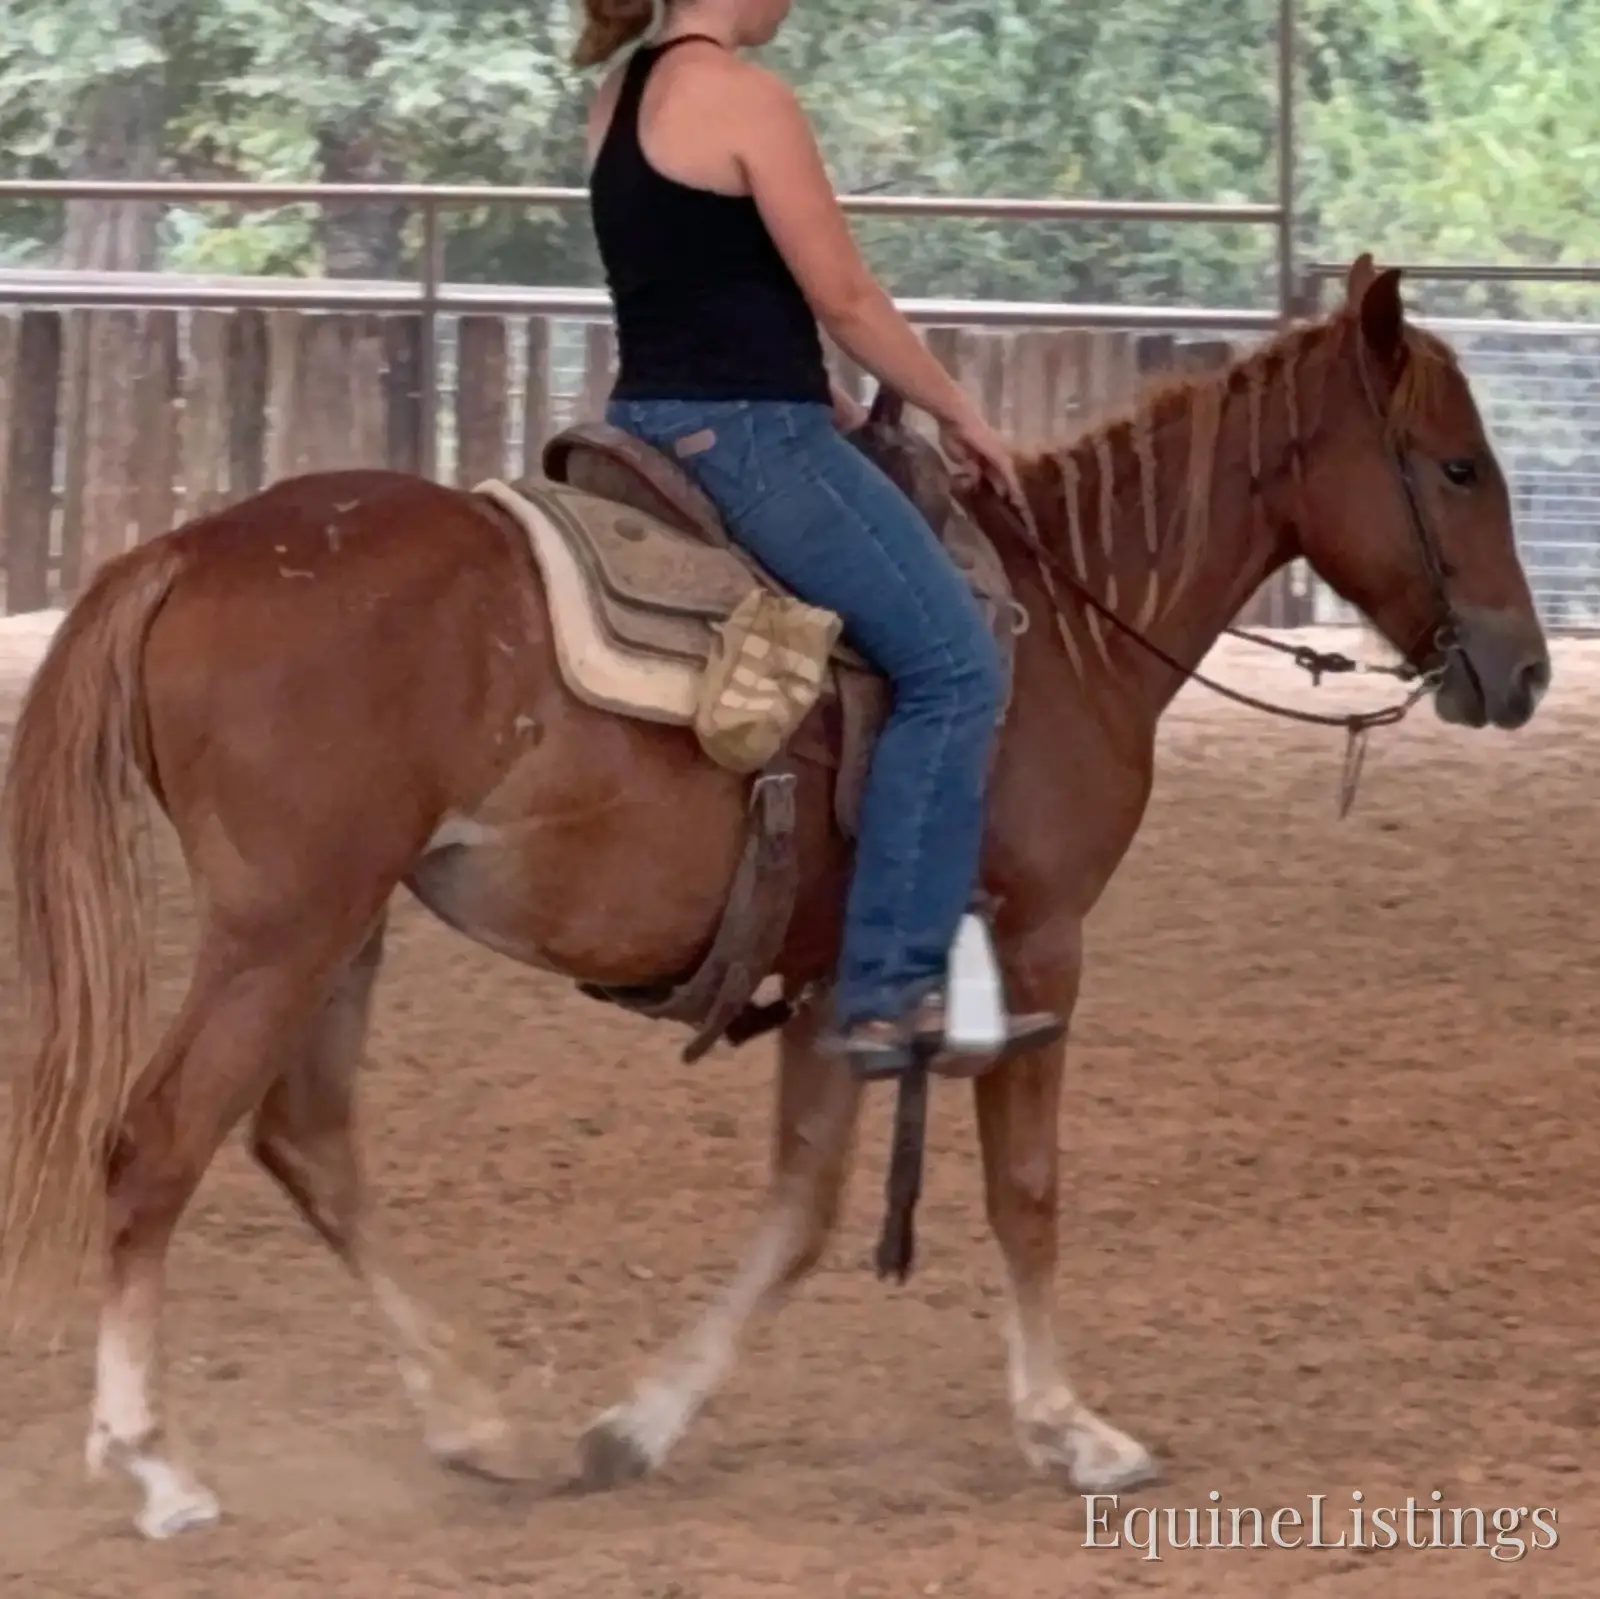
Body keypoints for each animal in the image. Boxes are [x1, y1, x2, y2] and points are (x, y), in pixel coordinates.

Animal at [0, 254, 1549, 1541]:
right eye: (1459, 466)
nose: (1524, 669)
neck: (1070, 624)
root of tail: (189, 550)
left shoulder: (832, 976)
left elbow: (803, 1204)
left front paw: (636, 1423)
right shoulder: (1038, 943)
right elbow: (1025, 1190)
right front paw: (1073, 1429)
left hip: (349, 924)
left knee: (309, 1141)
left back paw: (473, 1418)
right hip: (283, 926)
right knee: (157, 1141)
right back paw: (156, 1463)